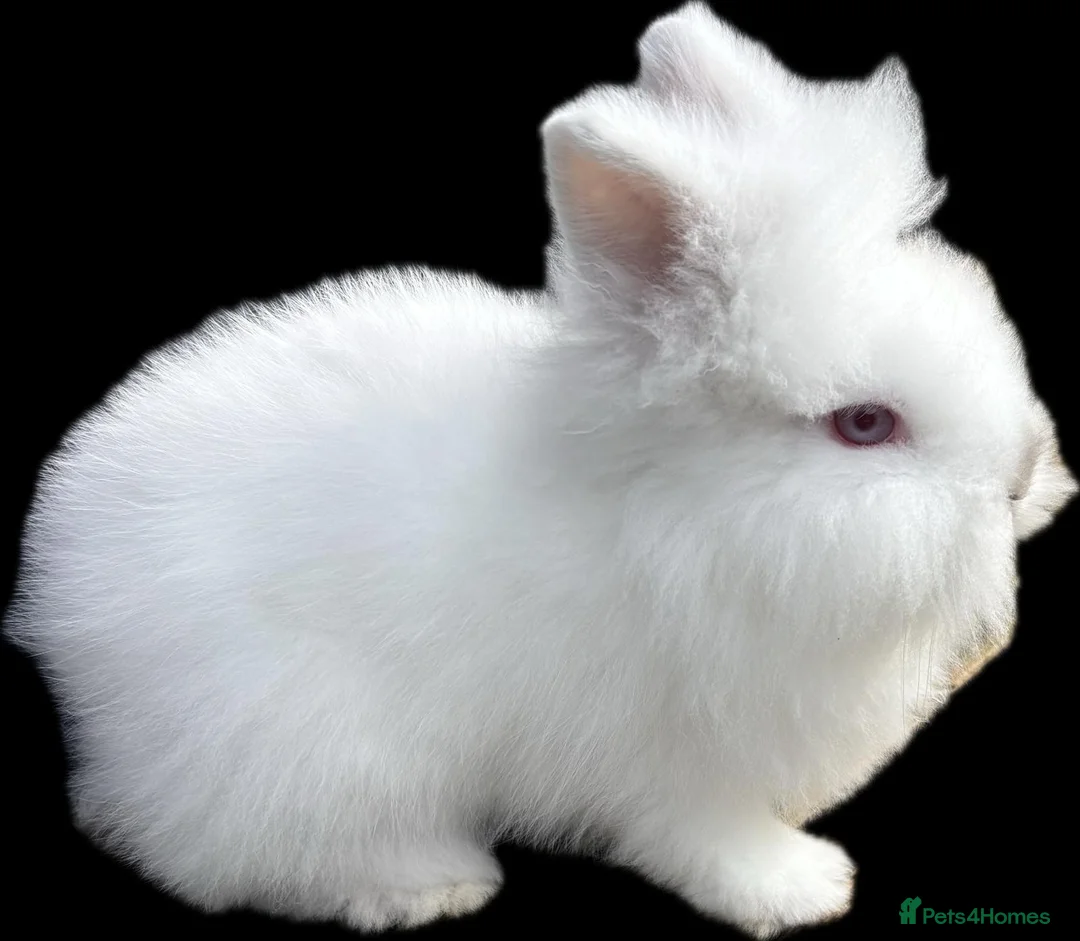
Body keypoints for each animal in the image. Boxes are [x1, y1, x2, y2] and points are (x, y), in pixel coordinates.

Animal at [4, 2, 1076, 938]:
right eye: (864, 424)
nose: (1021, 477)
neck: (682, 512)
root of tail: (62, 602)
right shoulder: (680, 757)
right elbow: (708, 837)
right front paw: (798, 890)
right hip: (304, 746)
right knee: (231, 851)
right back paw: (426, 886)